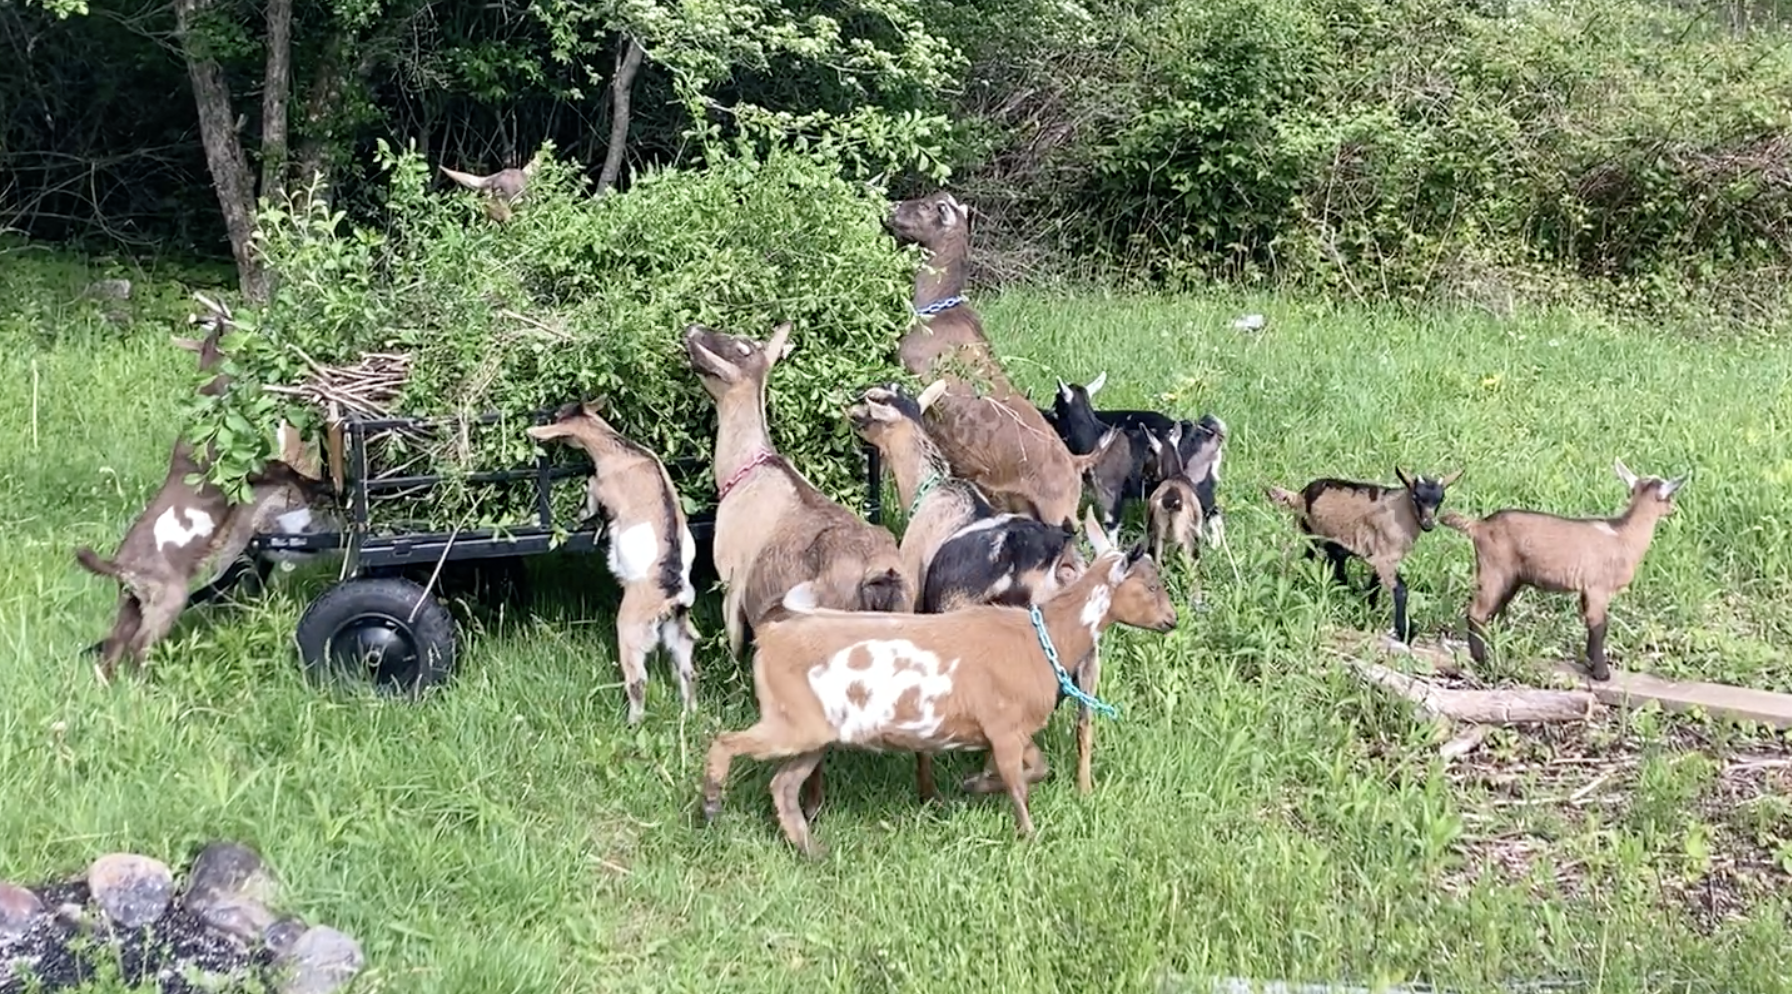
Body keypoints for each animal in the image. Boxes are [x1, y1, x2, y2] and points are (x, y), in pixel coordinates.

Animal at [526, 399, 699, 724]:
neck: (622, 452)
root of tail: (674, 592)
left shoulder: (603, 489)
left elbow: (592, 489)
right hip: (677, 629)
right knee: (687, 670)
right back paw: (689, 713)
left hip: (632, 627)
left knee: (638, 677)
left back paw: (632, 721)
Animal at [698, 511, 1177, 859]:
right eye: (1152, 585)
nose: (1171, 620)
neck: (1043, 637)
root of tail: (771, 638)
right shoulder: (1003, 728)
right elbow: (1020, 785)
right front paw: (1028, 836)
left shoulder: (1011, 730)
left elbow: (1035, 769)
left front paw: (975, 785)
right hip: (790, 722)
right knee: (725, 741)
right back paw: (711, 803)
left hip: (813, 732)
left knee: (783, 786)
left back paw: (813, 849)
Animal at [1266, 468, 1463, 643]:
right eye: (1416, 497)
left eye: (1440, 499)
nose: (1429, 523)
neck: (1401, 511)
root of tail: (1299, 495)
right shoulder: (1385, 559)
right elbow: (1400, 590)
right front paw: (1405, 632)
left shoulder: (1381, 558)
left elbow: (1374, 585)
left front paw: (1371, 609)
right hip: (1312, 533)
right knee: (1309, 561)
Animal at [1441, 459, 1685, 682]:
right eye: (1669, 496)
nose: (1674, 509)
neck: (1624, 535)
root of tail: (1479, 526)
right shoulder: (1598, 588)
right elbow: (1599, 626)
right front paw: (1601, 673)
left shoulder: (1587, 590)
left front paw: (1590, 663)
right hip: (1494, 569)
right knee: (1477, 613)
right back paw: (1483, 662)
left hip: (1511, 577)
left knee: (1496, 609)